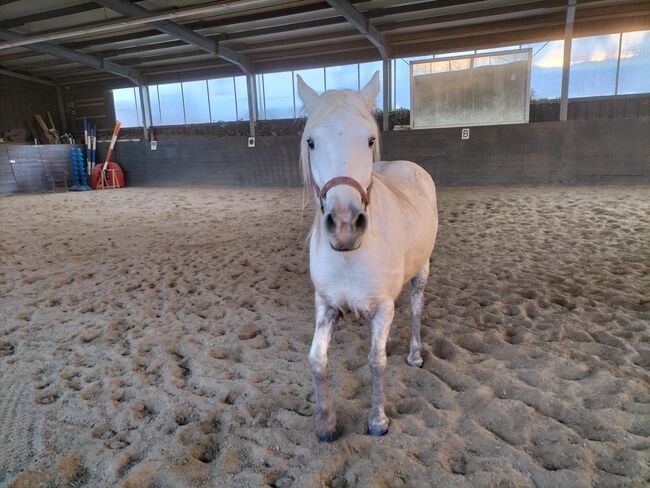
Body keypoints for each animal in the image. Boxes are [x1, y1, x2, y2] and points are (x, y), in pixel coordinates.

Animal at [296, 73, 438, 442]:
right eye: (311, 142)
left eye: (370, 139)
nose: (345, 224)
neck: (350, 256)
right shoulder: (325, 305)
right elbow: (317, 359)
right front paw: (326, 424)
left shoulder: (383, 307)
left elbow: (377, 361)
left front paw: (377, 421)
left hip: (422, 271)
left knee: (416, 309)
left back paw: (415, 355)